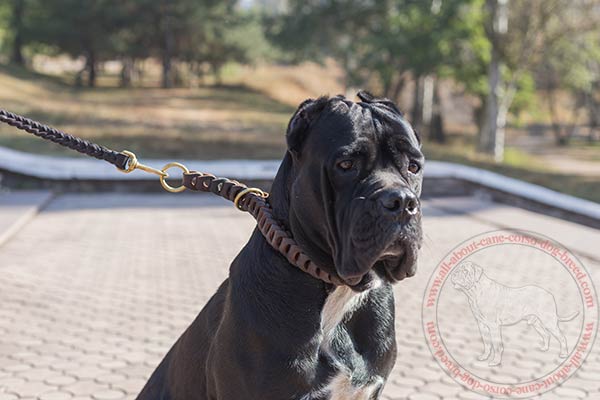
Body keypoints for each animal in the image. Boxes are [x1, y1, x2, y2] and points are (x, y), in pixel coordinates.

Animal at [452, 260, 580, 368]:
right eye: (457, 269)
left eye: (465, 271)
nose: (454, 274)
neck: (475, 292)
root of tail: (549, 294)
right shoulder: (482, 325)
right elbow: (487, 343)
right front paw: (484, 357)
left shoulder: (493, 326)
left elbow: (496, 345)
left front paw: (495, 362)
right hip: (536, 323)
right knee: (546, 335)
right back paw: (544, 348)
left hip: (549, 322)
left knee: (562, 337)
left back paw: (563, 354)